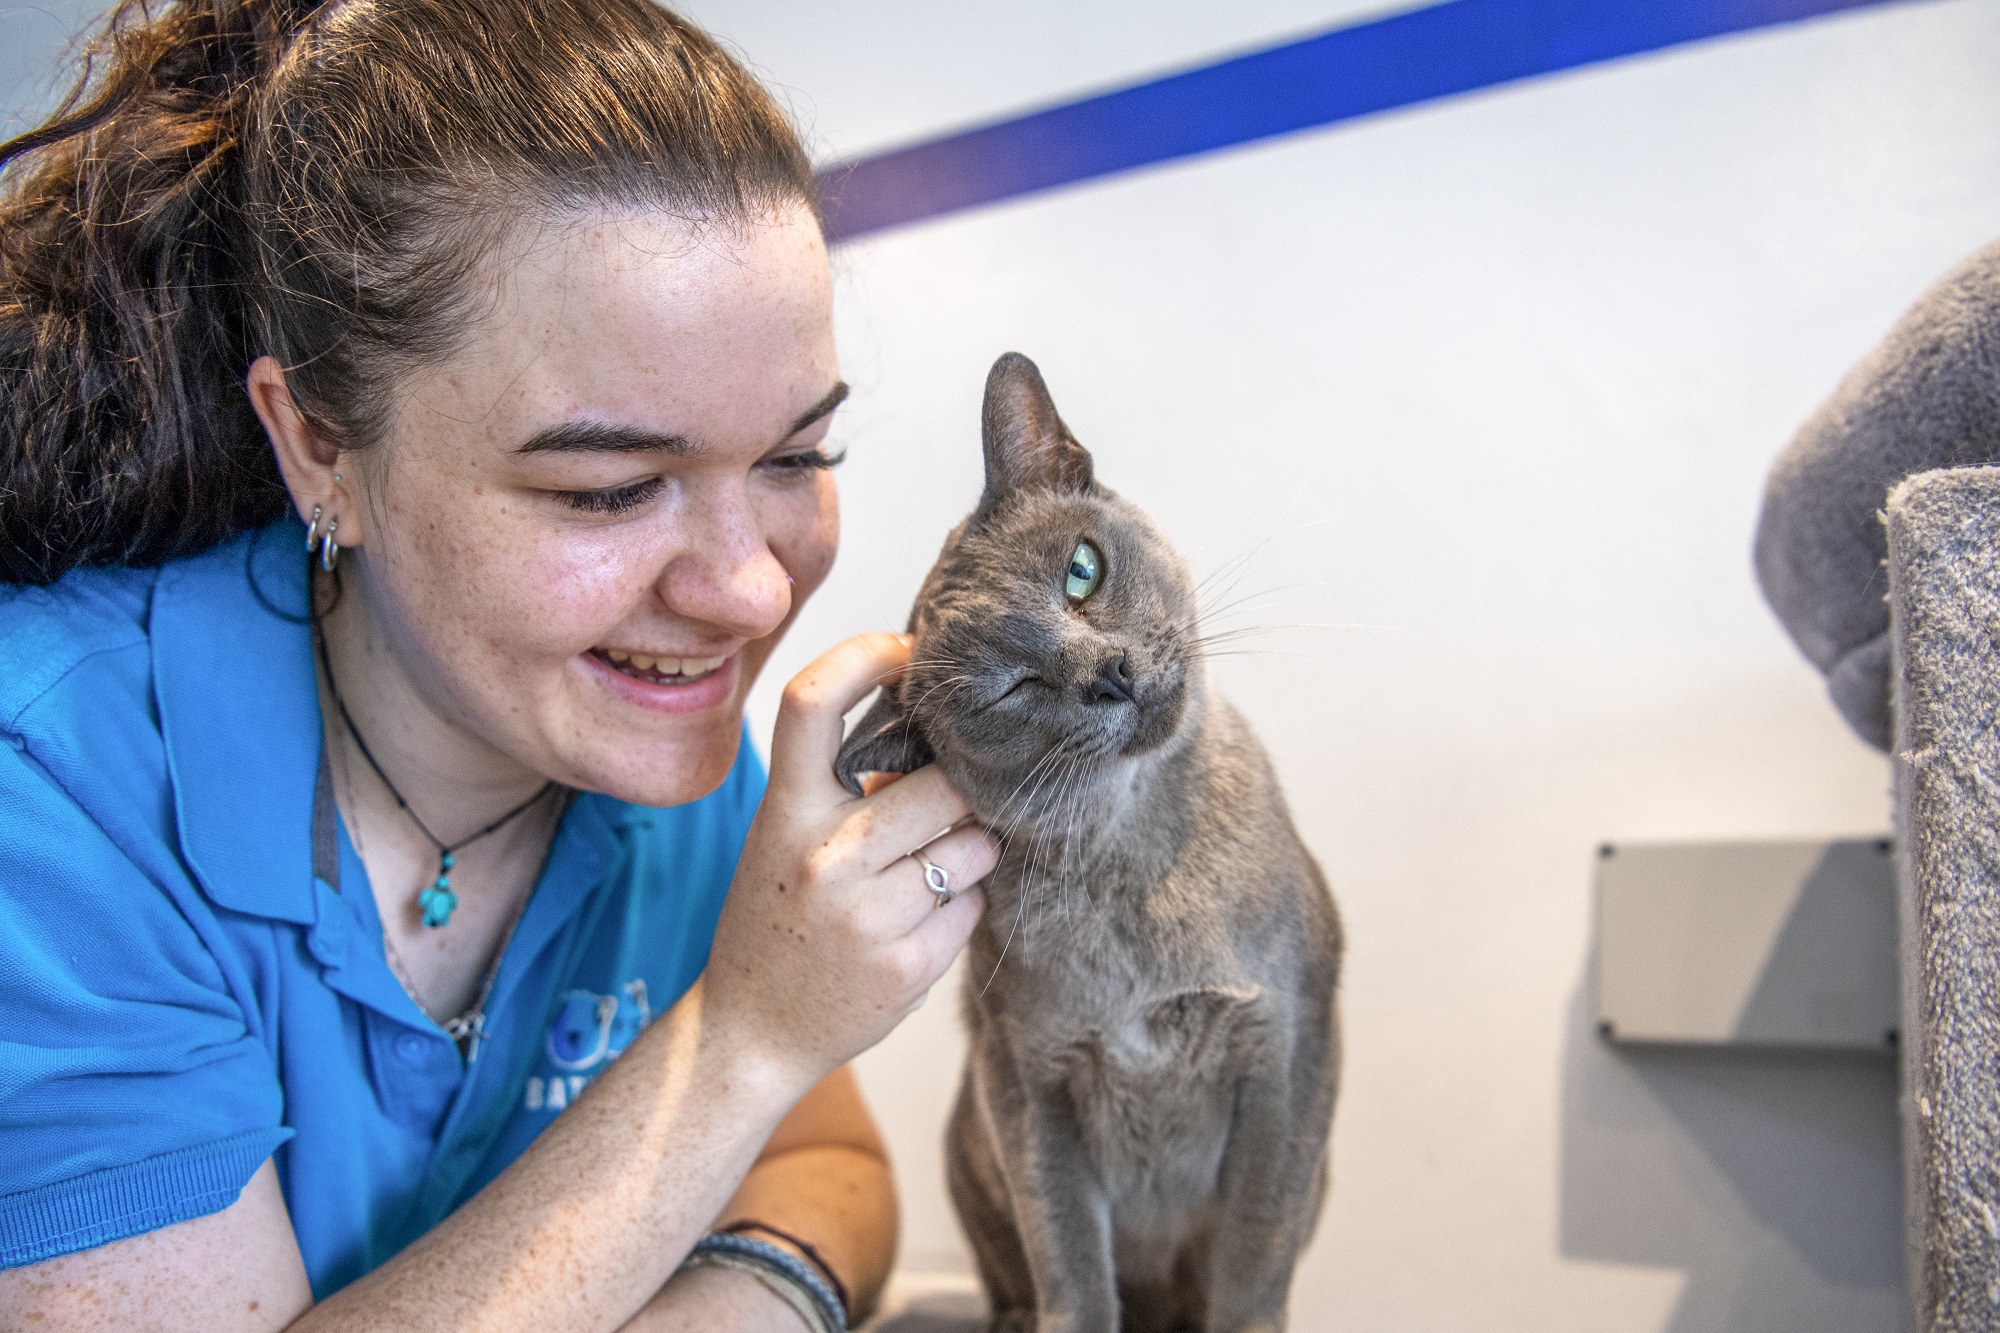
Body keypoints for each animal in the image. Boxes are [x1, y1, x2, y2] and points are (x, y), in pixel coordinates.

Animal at [836, 348, 1336, 1320]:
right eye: (1012, 688)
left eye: (1081, 570)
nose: (1110, 675)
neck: (1134, 868)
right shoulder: (1033, 1094)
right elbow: (1073, 1274)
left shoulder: (1285, 1065)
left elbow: (1250, 1277)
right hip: (968, 1139)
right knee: (1016, 1281)